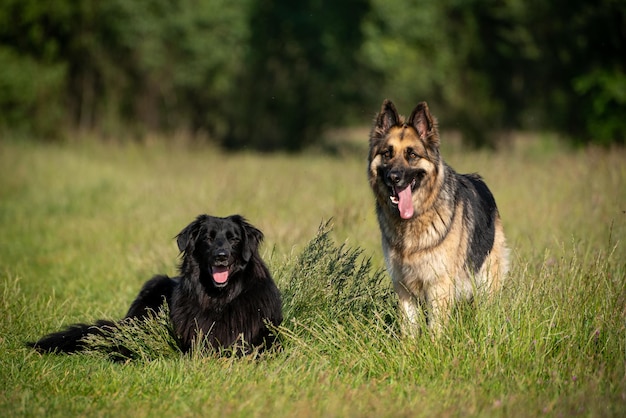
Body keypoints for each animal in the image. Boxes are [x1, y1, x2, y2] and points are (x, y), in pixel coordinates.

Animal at [366, 99, 508, 334]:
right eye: (387, 153)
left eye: (412, 155)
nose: (394, 177)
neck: (414, 220)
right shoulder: (404, 287)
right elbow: (409, 329)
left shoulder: (439, 286)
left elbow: (435, 330)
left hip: (486, 282)